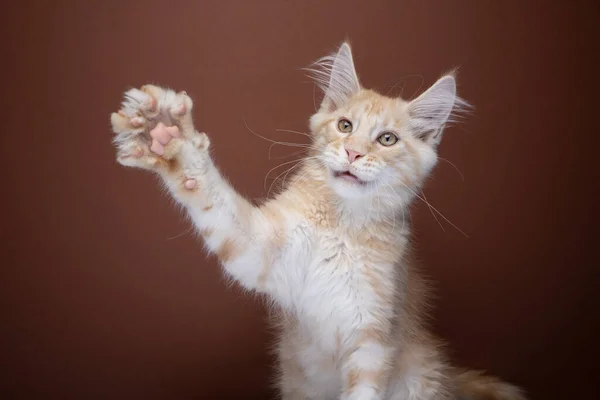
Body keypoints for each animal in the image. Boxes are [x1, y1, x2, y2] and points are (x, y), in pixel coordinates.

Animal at [109, 43, 524, 400]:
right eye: (345, 126)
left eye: (387, 139)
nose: (353, 153)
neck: (342, 225)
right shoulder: (261, 249)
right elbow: (212, 197)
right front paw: (167, 134)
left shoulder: (373, 337)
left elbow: (362, 389)